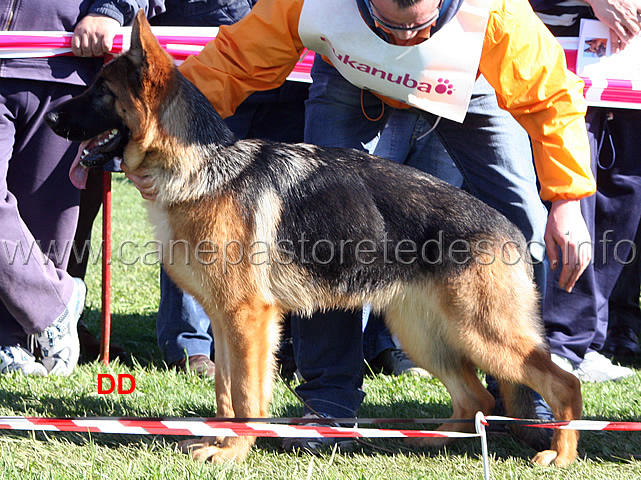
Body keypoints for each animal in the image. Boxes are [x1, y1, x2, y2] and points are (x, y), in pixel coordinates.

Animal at [47, 10, 584, 464]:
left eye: (100, 91)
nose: (51, 118)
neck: (201, 167)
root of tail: (508, 227)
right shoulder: (225, 320)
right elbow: (226, 392)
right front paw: (218, 441)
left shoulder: (248, 319)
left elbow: (246, 395)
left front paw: (233, 451)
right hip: (425, 335)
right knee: (475, 397)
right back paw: (426, 440)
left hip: (484, 334)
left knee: (563, 384)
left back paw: (559, 454)